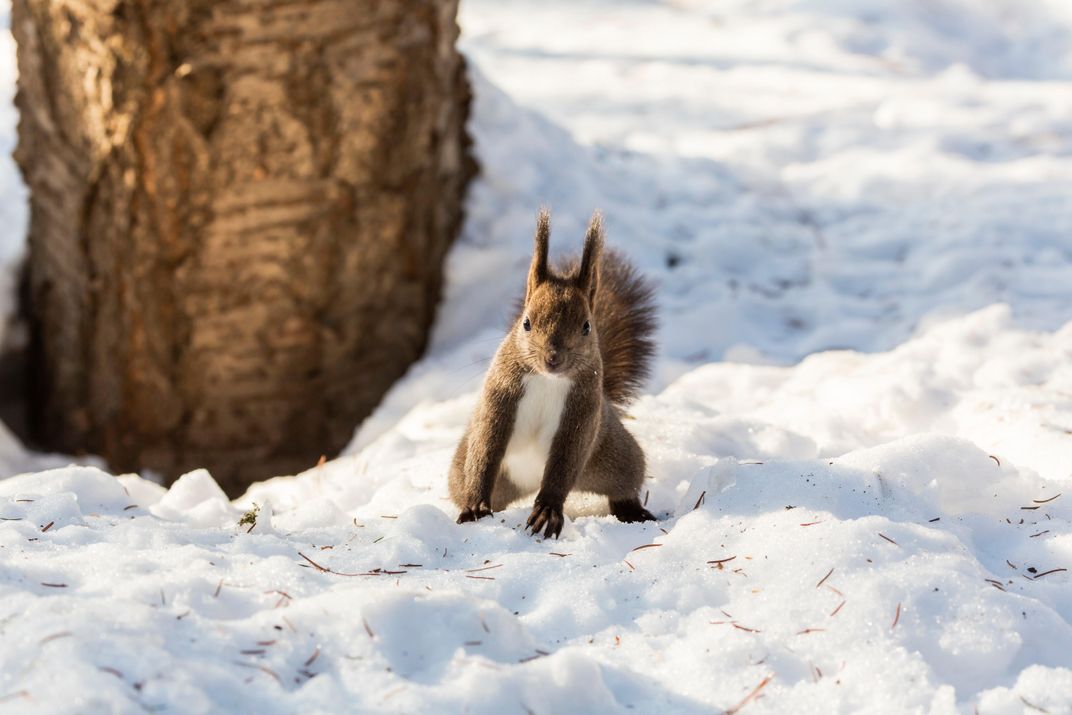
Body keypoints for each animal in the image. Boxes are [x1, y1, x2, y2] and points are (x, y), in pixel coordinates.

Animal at [448, 210, 656, 540]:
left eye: (586, 326)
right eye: (526, 323)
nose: (553, 358)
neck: (547, 380)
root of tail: (530, 481)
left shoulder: (583, 412)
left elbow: (565, 461)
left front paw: (547, 510)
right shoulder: (499, 395)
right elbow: (486, 445)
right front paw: (475, 504)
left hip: (613, 456)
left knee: (623, 483)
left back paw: (632, 510)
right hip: (471, 471)